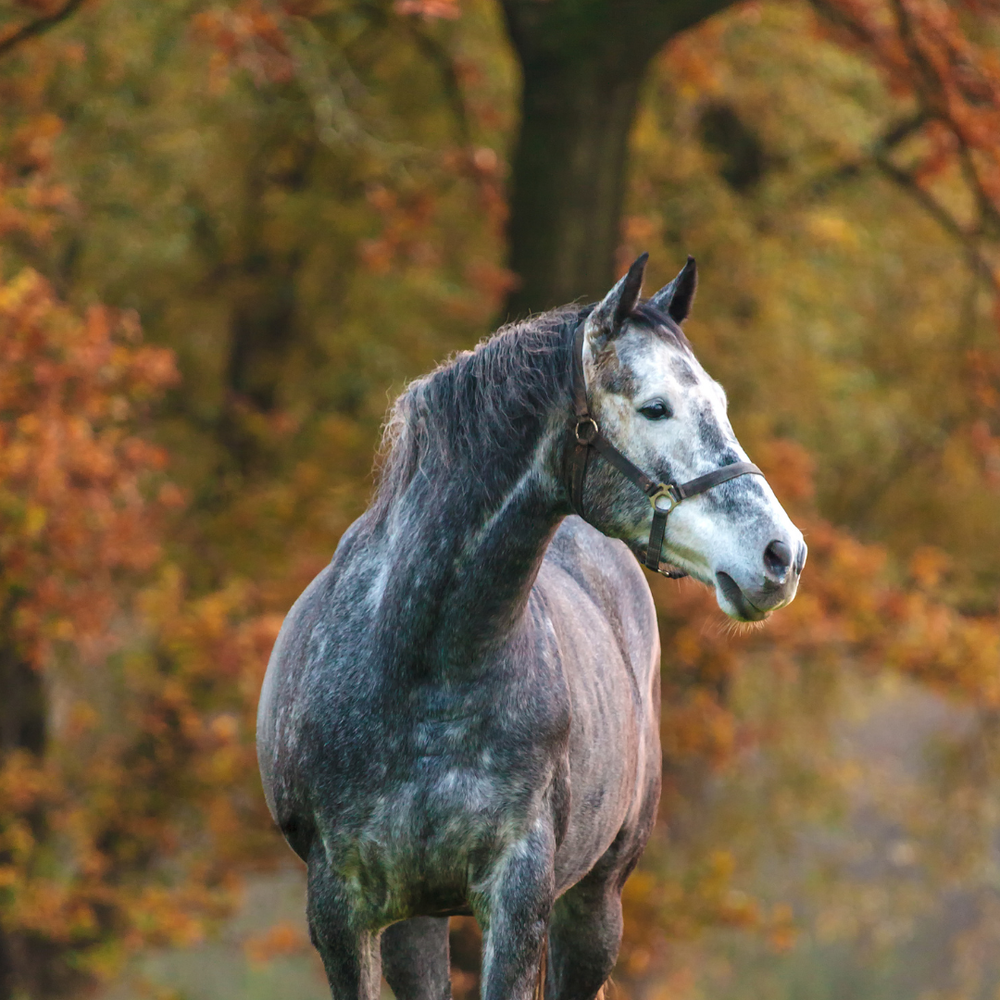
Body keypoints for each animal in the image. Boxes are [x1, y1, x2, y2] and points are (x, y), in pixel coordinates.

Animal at [256, 253, 805, 1000]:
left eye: (717, 403)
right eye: (655, 407)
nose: (781, 555)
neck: (423, 668)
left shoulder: (518, 900)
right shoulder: (342, 910)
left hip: (595, 904)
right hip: (416, 923)